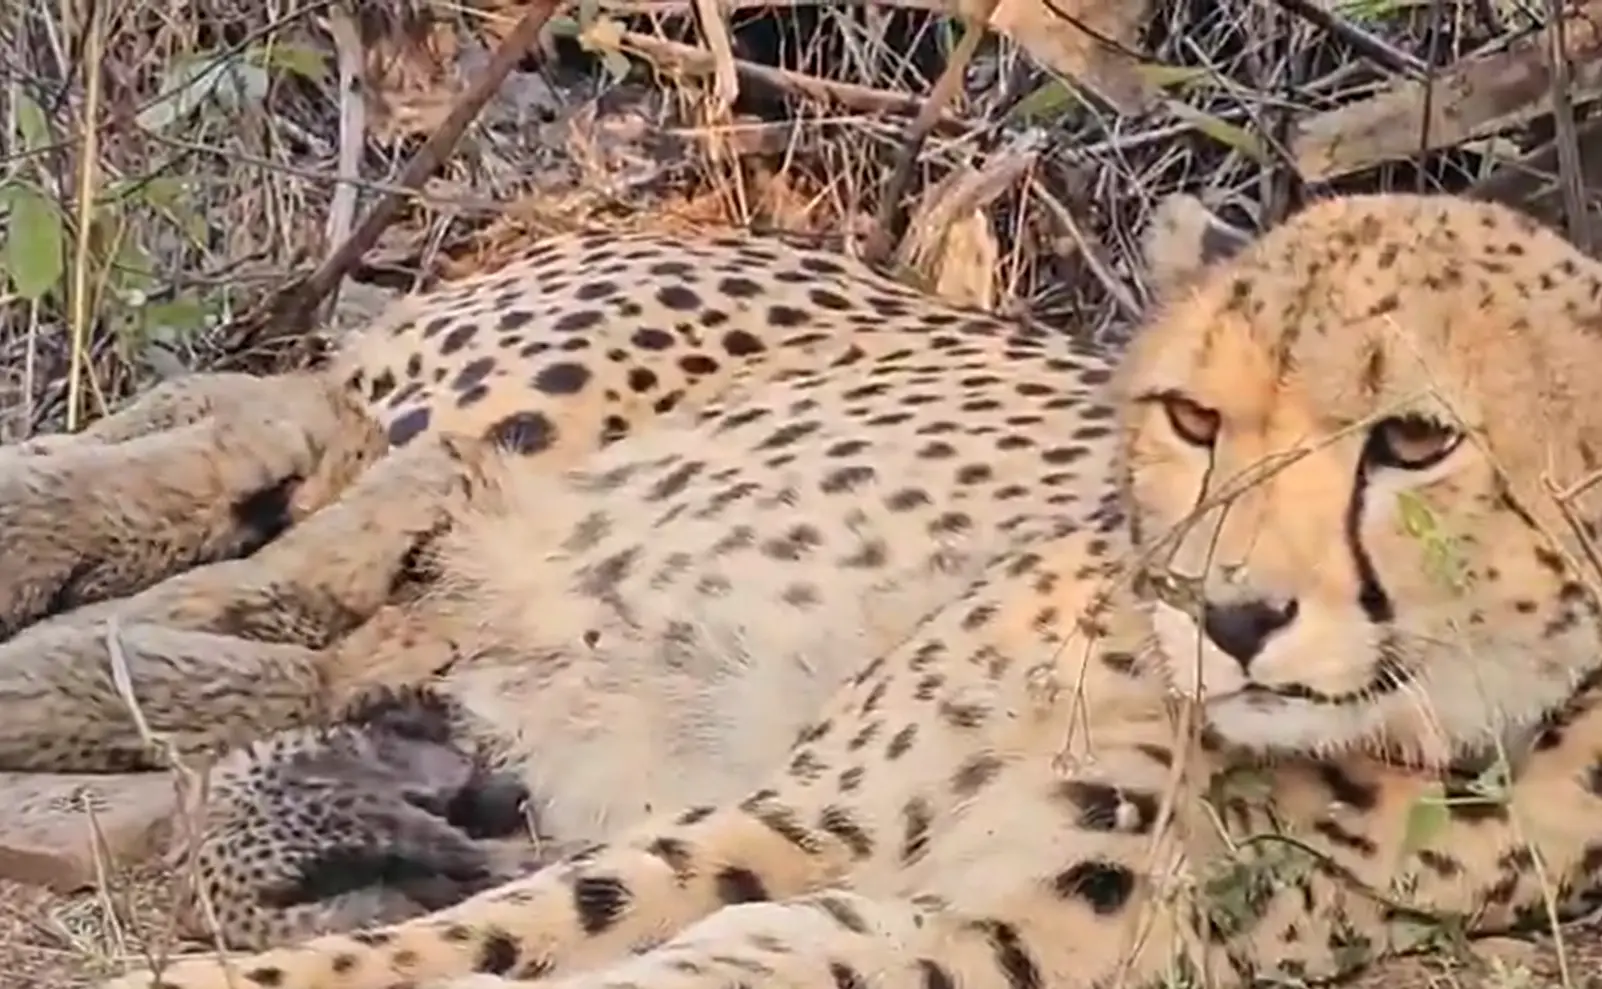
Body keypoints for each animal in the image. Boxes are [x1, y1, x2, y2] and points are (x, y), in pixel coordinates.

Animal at [84, 190, 1602, 989]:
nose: (1224, 612)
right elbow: (510, 926)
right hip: (472, 426)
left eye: (1416, 440)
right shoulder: (797, 816)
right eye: (1191, 416)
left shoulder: (970, 938)